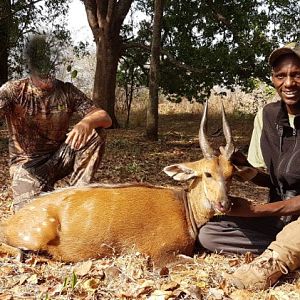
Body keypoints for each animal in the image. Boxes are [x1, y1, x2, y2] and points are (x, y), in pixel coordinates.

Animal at [0, 101, 239, 264]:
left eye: (231, 174)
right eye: (207, 173)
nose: (224, 204)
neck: (187, 210)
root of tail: (11, 220)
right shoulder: (161, 252)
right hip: (37, 233)